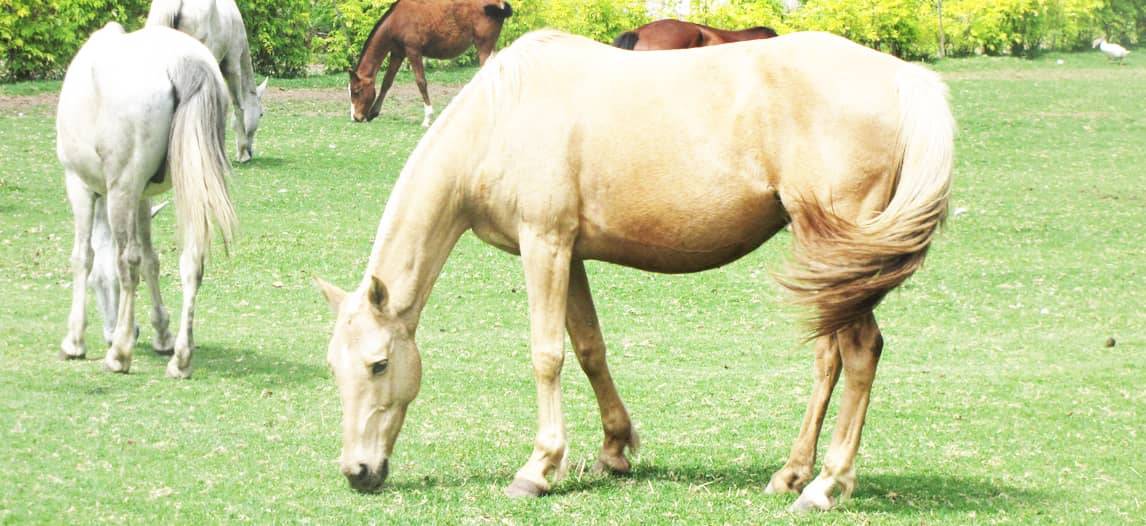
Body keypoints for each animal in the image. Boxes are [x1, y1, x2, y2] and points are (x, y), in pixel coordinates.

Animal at [57, 23, 237, 379]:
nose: (131, 332)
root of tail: (183, 62)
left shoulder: (80, 186)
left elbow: (85, 258)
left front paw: (75, 341)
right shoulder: (140, 197)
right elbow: (153, 260)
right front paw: (162, 334)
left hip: (121, 190)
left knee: (127, 261)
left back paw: (119, 354)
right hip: (190, 184)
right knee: (191, 262)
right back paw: (180, 357)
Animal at [316, 30, 953, 512]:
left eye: (378, 364)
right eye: (335, 369)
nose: (358, 471)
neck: (502, 116)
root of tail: (903, 77)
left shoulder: (544, 244)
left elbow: (547, 354)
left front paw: (538, 468)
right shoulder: (569, 254)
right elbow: (589, 348)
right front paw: (614, 449)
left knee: (861, 352)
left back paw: (825, 485)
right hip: (830, 262)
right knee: (829, 358)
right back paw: (791, 473)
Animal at [349, 0, 513, 126]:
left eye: (356, 91)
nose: (356, 117)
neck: (396, 20)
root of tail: (498, 4)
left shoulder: (413, 51)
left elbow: (421, 82)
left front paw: (427, 118)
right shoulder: (398, 53)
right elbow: (387, 82)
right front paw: (374, 112)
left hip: (484, 46)